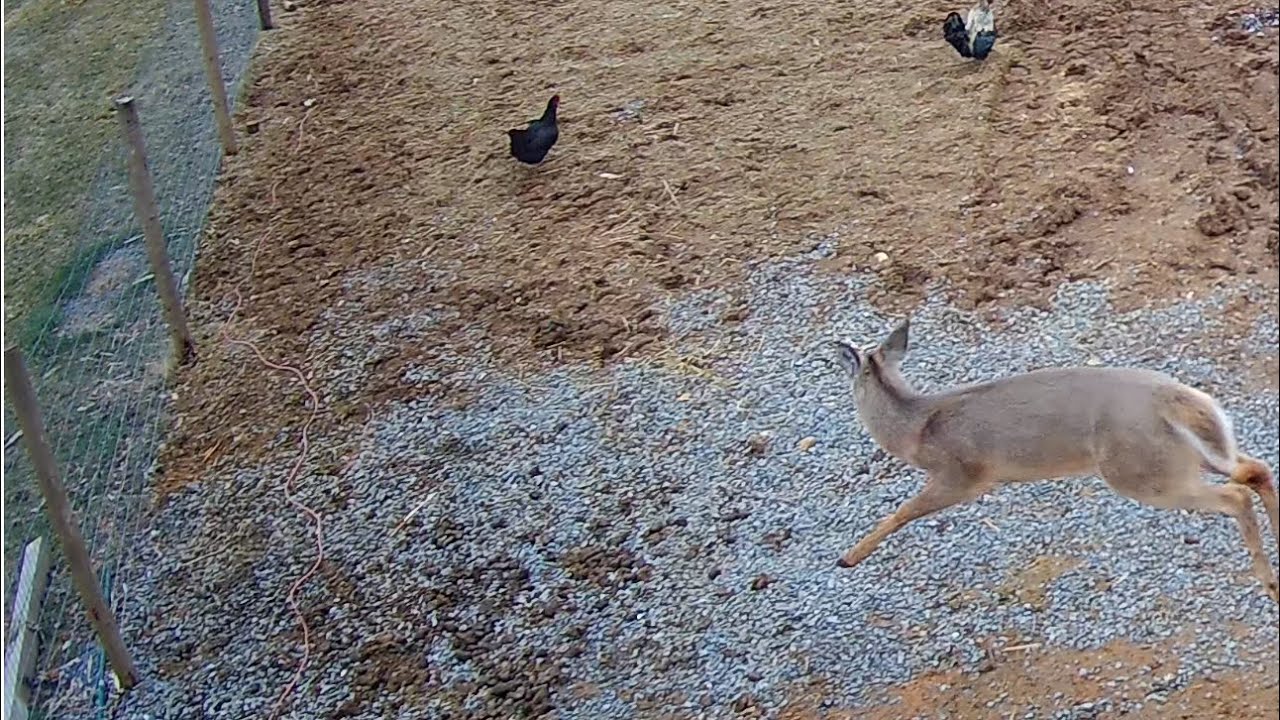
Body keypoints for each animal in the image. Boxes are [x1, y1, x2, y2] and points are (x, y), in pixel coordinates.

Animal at [832, 318, 1279, 603]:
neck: (915, 428)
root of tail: (1174, 397)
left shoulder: (960, 474)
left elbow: (903, 511)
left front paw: (848, 557)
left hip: (1140, 471)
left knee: (1236, 494)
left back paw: (1269, 583)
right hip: (1184, 455)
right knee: (1255, 469)